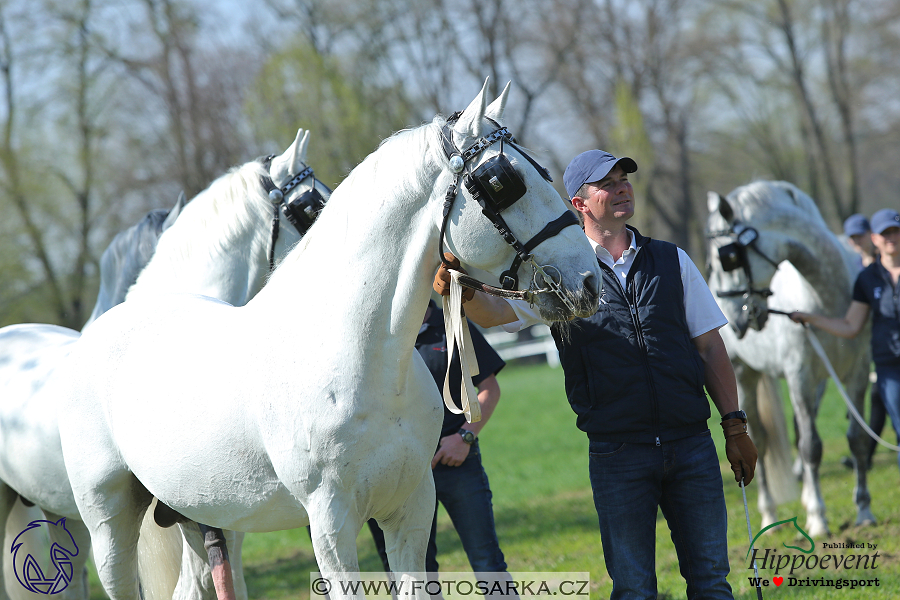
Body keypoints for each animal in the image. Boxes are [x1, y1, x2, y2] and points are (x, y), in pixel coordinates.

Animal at [49, 81, 596, 600]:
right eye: (502, 182)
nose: (589, 280)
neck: (358, 357)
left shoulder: (411, 507)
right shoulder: (331, 524)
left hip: (202, 517)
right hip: (109, 522)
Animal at [708, 180, 876, 536]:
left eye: (727, 258)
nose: (730, 318)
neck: (826, 295)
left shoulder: (856, 374)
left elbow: (856, 439)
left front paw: (863, 510)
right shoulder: (799, 375)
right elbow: (811, 447)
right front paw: (819, 519)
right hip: (743, 376)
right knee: (757, 440)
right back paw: (769, 515)